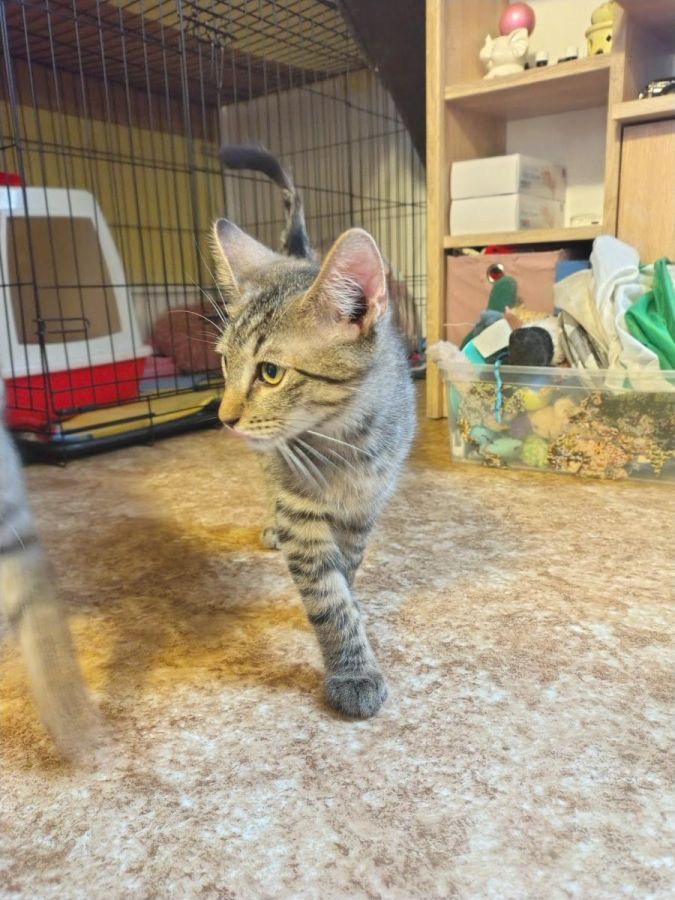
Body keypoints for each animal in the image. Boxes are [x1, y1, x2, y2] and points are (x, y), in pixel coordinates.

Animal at [214, 145, 415, 718]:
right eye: (224, 363)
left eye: (270, 372)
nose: (224, 417)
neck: (344, 440)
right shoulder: (300, 509)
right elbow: (326, 597)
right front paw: (351, 668)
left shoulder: (365, 507)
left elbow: (345, 570)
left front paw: (353, 607)